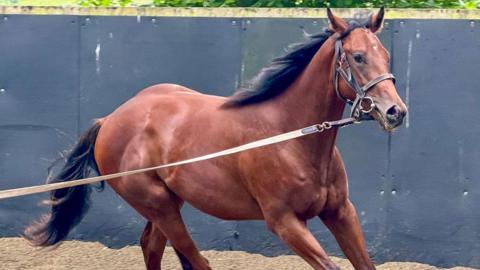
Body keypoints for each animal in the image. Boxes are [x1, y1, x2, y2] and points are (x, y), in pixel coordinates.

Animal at [23, 8, 404, 270]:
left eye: (385, 54)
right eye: (358, 57)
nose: (395, 112)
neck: (291, 136)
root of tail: (110, 120)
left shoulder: (340, 211)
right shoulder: (284, 222)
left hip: (167, 205)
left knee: (151, 247)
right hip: (159, 205)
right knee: (194, 260)